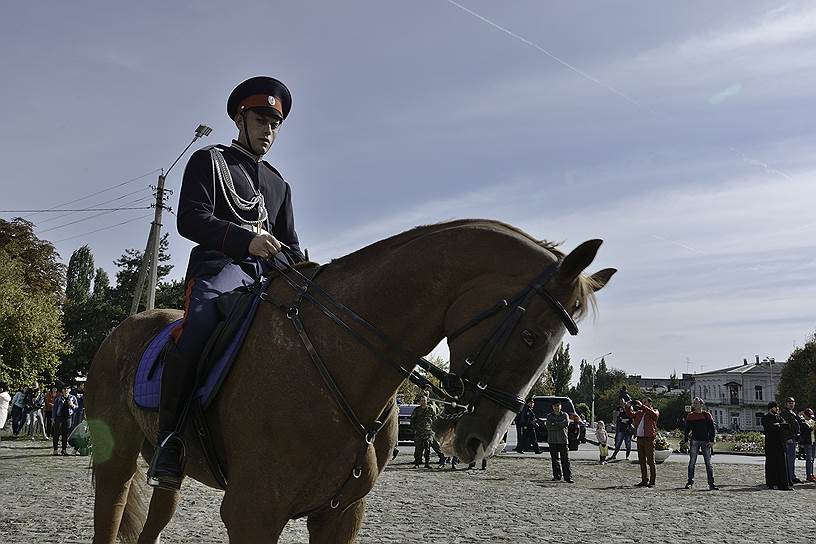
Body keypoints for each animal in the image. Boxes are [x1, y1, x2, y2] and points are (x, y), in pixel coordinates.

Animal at [86, 219, 616, 540]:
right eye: (530, 336)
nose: (477, 443)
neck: (335, 356)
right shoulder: (252, 513)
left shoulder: (340, 515)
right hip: (115, 462)